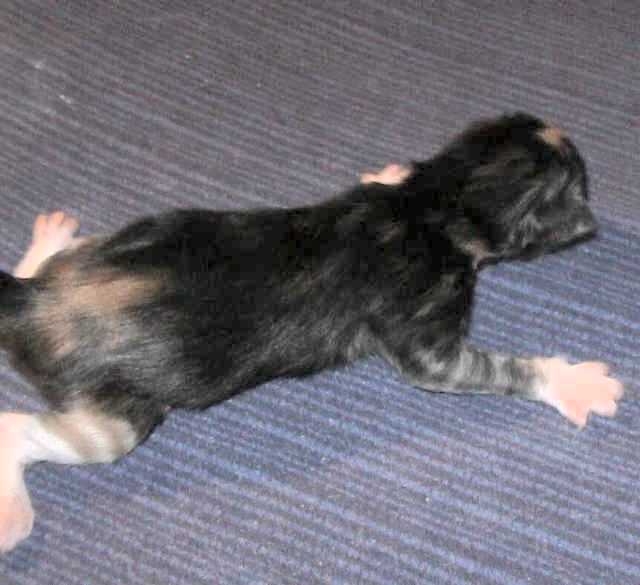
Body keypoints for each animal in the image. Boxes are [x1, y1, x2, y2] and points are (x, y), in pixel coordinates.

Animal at [0, 113, 623, 552]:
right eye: (582, 181)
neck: (432, 201)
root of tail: (33, 301)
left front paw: (384, 169)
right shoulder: (427, 341)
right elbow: (497, 368)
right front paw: (574, 384)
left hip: (116, 241)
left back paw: (49, 240)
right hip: (116, 416)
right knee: (21, 430)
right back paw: (14, 508)